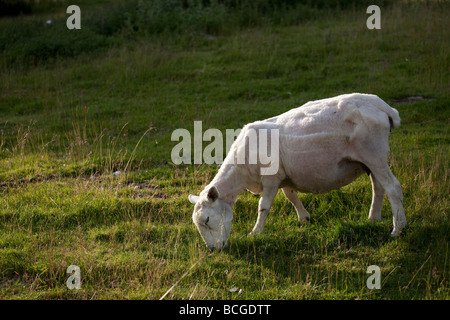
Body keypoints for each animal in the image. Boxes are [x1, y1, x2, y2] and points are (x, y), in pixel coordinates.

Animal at [188, 92, 406, 250]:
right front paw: (304, 218)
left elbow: (263, 206)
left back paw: (398, 229)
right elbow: (291, 195)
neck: (241, 174)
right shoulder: (284, 176)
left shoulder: (271, 178)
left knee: (393, 187)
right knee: (378, 187)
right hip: (368, 160)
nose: (213, 250)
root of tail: (382, 106)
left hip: (374, 153)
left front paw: (255, 232)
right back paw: (373, 218)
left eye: (207, 219)